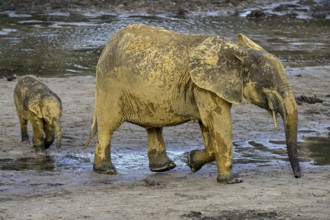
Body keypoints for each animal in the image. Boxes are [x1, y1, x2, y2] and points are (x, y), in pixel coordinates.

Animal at [85, 24, 302, 183]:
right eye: (269, 86)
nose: (297, 176)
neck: (239, 52)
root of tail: (107, 46)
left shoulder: (204, 86)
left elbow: (207, 125)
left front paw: (191, 162)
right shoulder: (205, 86)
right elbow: (219, 123)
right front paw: (232, 181)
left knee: (153, 125)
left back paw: (165, 168)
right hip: (111, 85)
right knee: (108, 127)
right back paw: (106, 171)